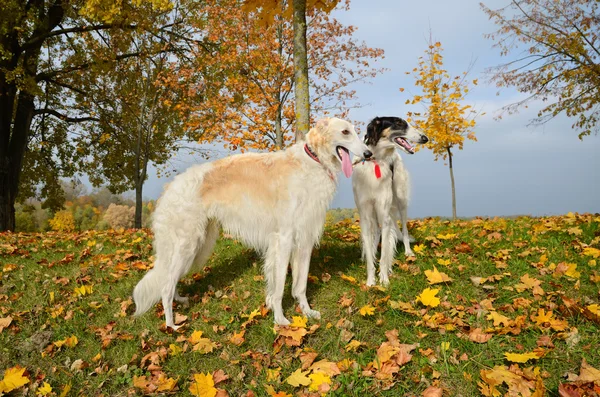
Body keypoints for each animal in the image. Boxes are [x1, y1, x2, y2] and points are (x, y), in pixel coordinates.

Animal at [134, 116, 372, 326]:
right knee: (165, 287)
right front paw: (280, 320)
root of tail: (170, 188)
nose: (368, 154)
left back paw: (179, 302)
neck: (313, 162)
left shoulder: (304, 238)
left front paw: (307, 312)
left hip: (196, 246)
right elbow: (279, 288)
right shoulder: (284, 238)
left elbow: (300, 285)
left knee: (169, 281)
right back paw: (171, 325)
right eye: (345, 131)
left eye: (356, 131)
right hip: (188, 244)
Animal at [350, 116, 428, 286]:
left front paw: (384, 279)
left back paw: (408, 252)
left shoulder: (384, 214)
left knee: (404, 229)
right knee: (377, 234)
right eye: (399, 124)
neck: (375, 159)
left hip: (400, 200)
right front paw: (370, 281)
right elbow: (371, 254)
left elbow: (385, 253)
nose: (425, 138)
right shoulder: (365, 214)